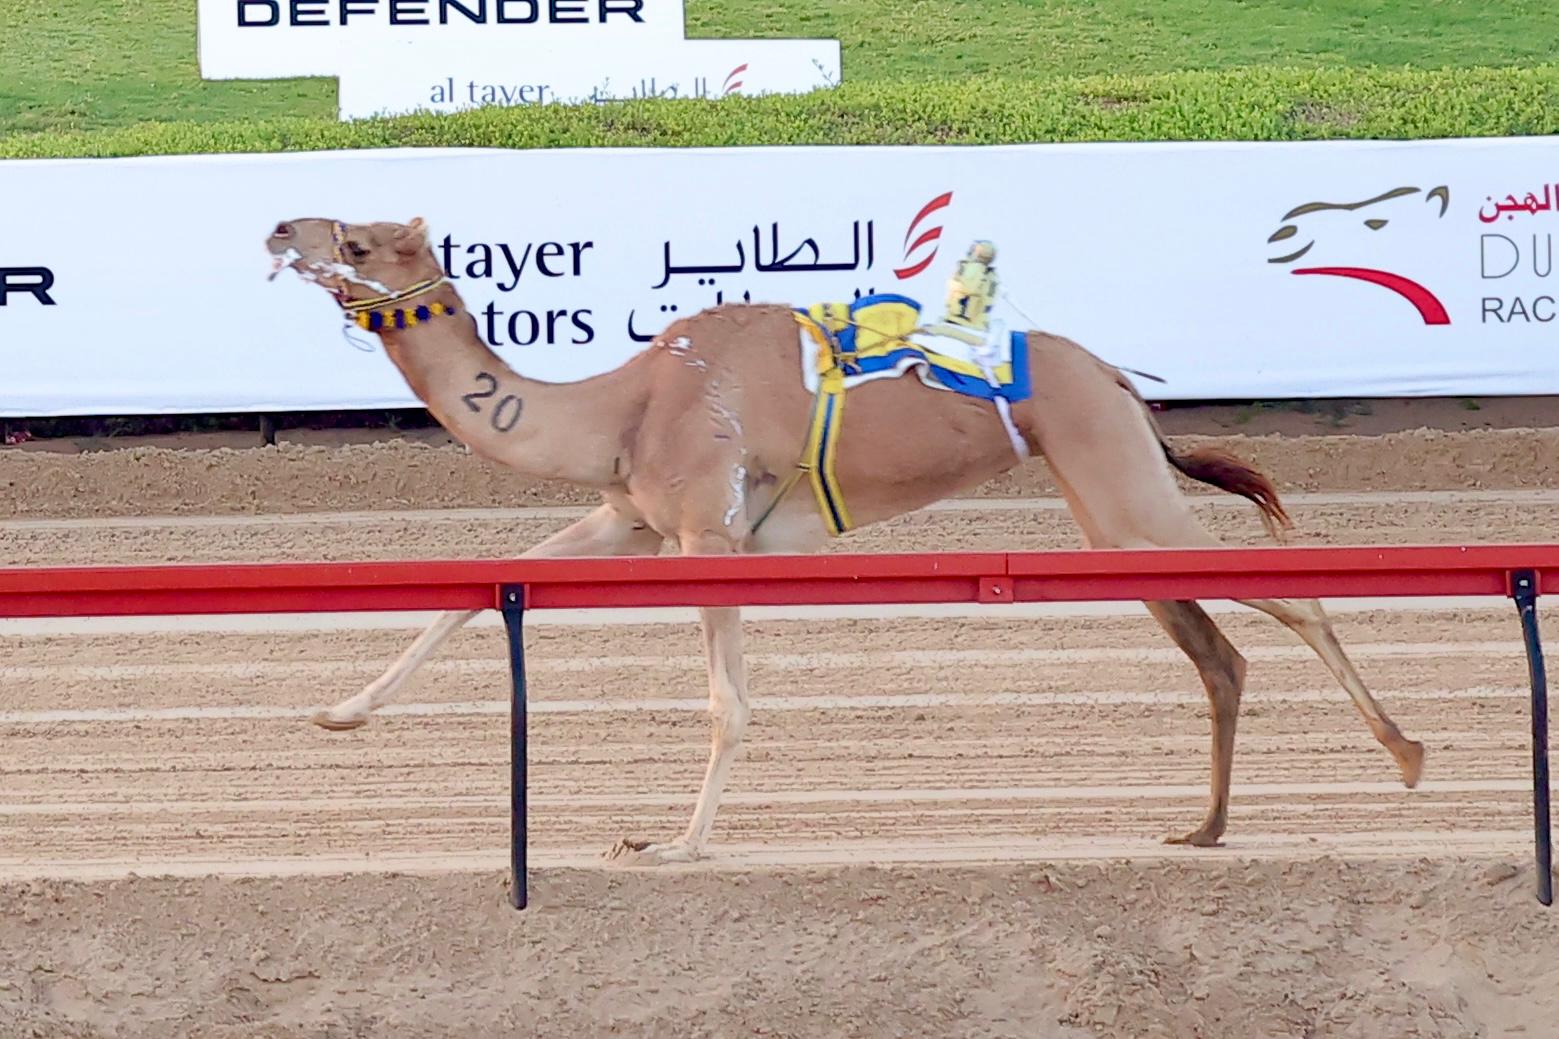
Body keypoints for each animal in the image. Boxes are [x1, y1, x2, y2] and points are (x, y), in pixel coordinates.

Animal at [265, 213, 1428, 861]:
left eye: (357, 242)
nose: (280, 228)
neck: (623, 403)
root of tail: (1113, 376)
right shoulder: (630, 516)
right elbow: (478, 586)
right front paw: (337, 711)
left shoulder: (706, 531)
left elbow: (725, 701)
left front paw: (675, 842)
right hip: (1105, 506)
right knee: (1217, 650)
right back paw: (1204, 827)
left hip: (1119, 487)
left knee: (1288, 590)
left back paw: (1407, 756)